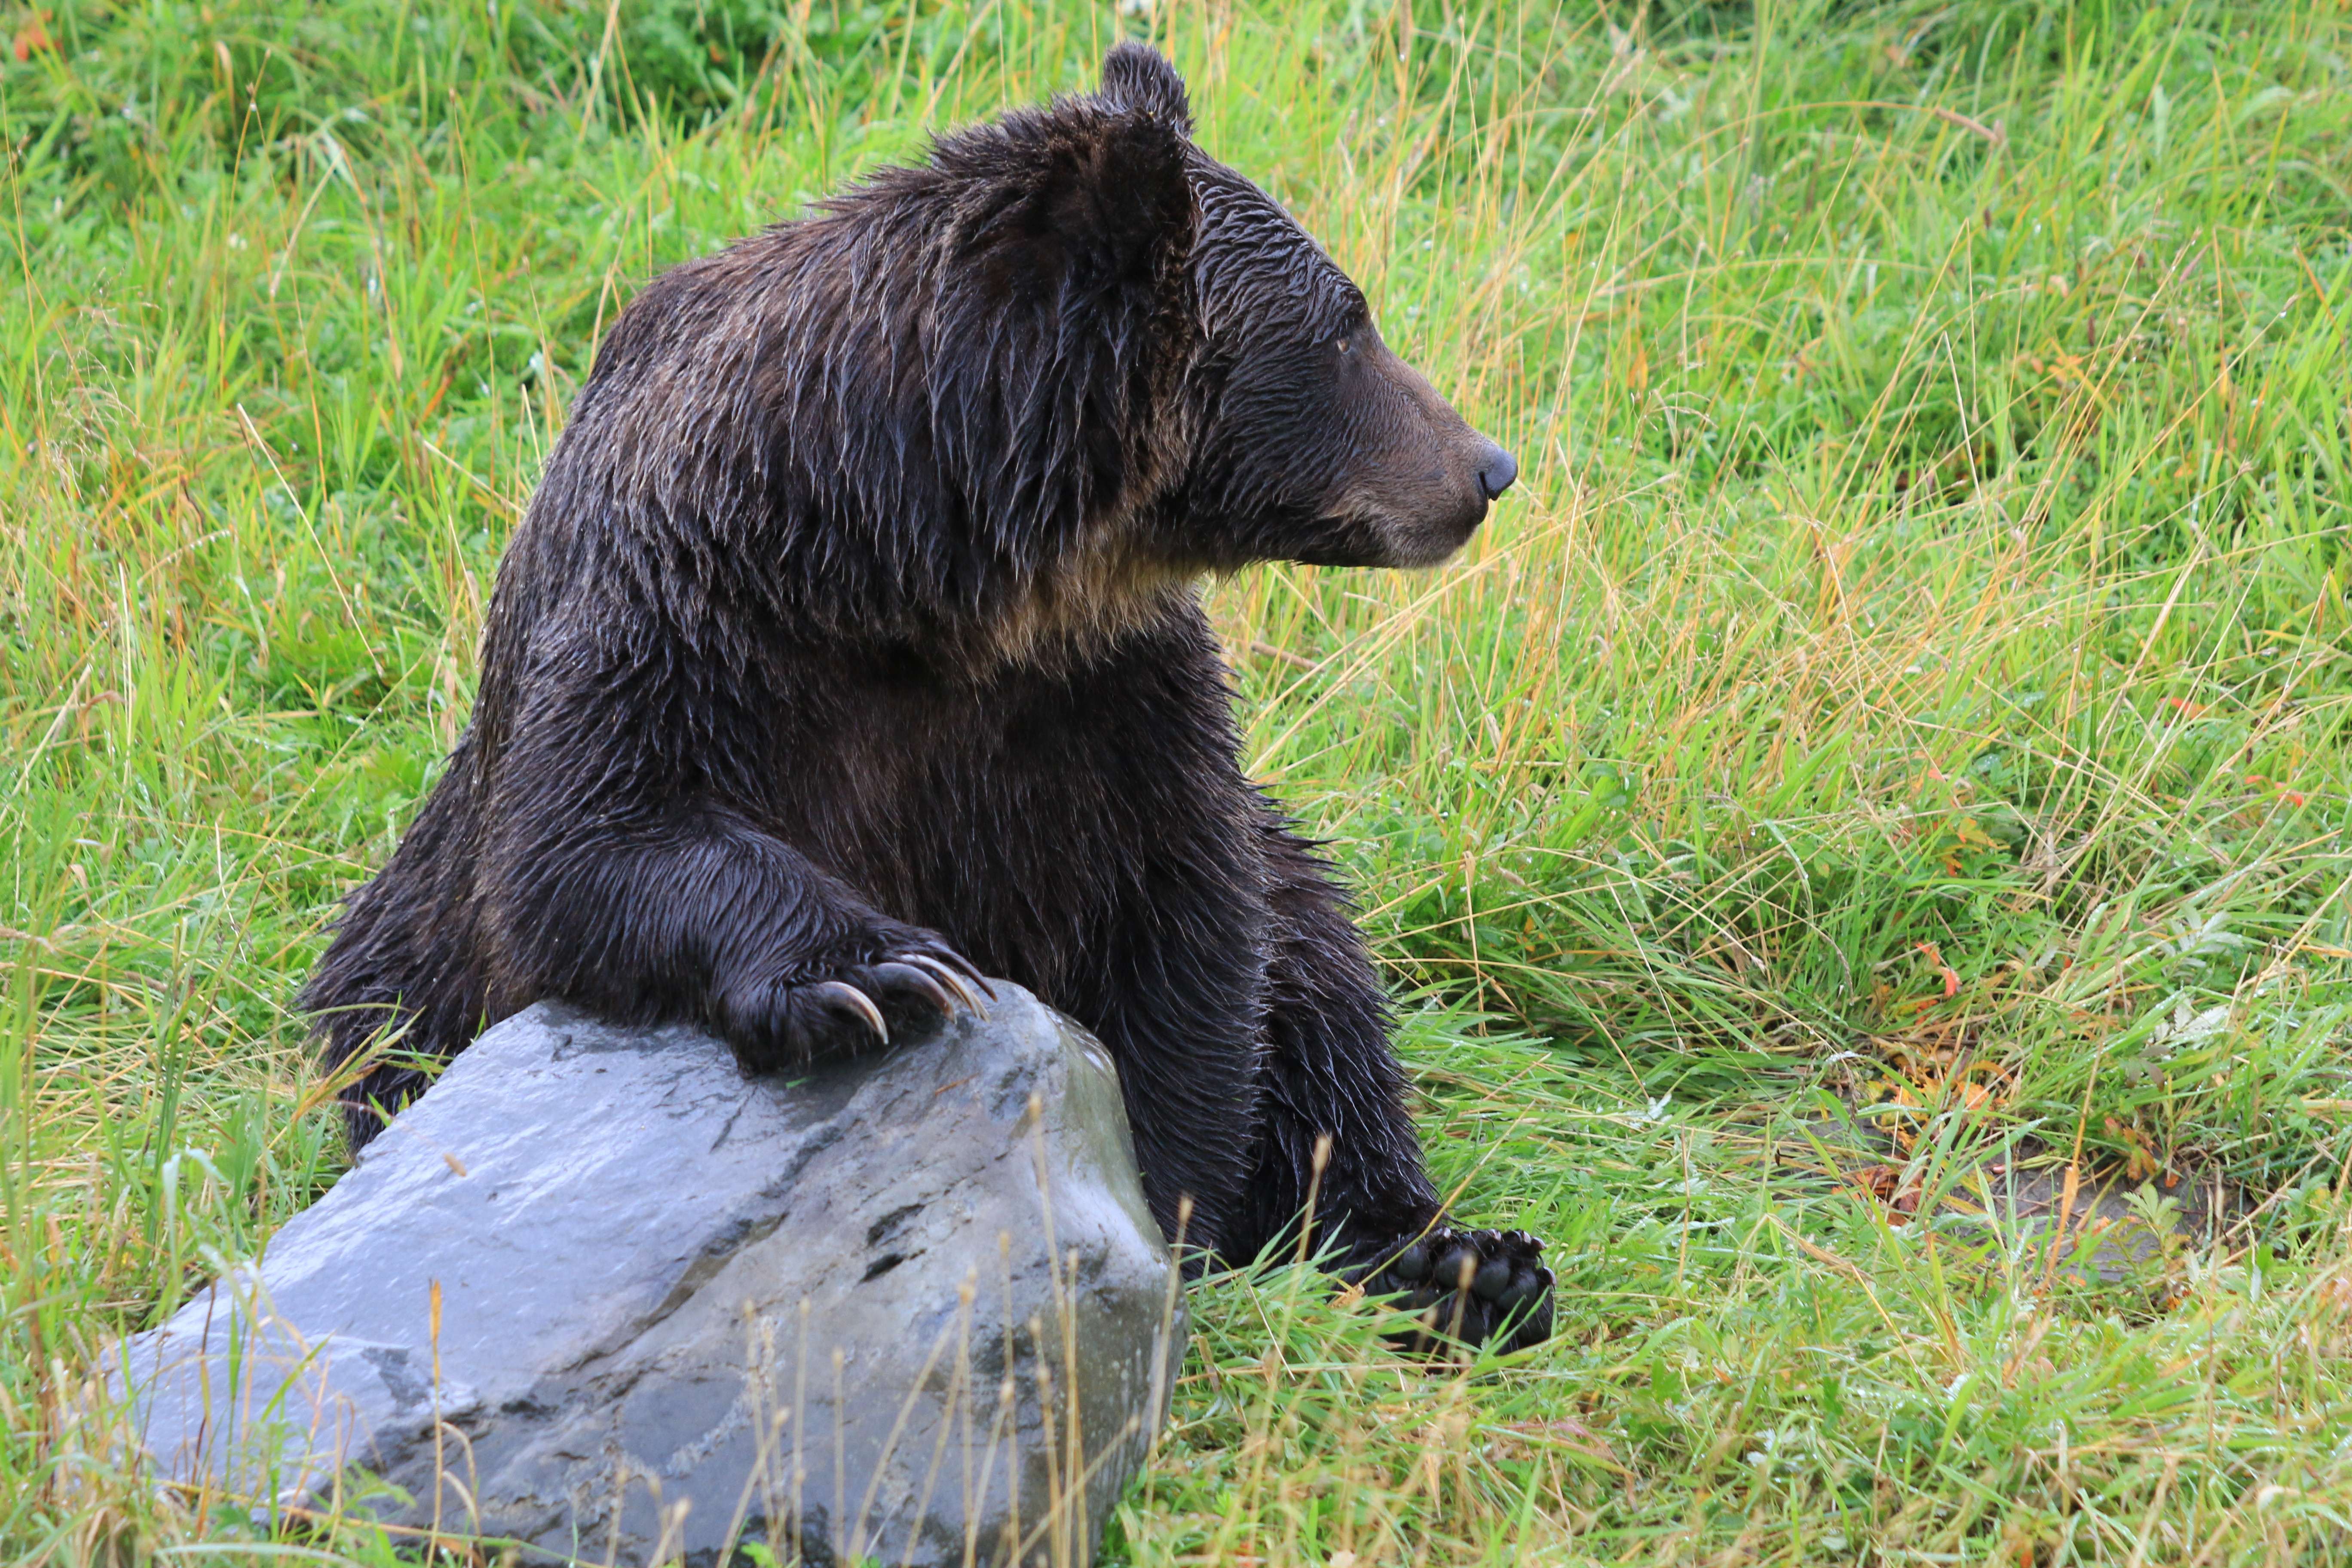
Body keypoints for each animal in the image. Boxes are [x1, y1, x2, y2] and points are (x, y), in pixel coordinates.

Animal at [302, 43, 1551, 1352]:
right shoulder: (685, 621)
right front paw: (878, 975)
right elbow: (587, 843)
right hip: (398, 978)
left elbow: (1194, 941)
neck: (912, 569)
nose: (1486, 467)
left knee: (1325, 990)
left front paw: (1159, 1215)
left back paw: (1464, 1264)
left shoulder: (1110, 698)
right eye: (1346, 327)